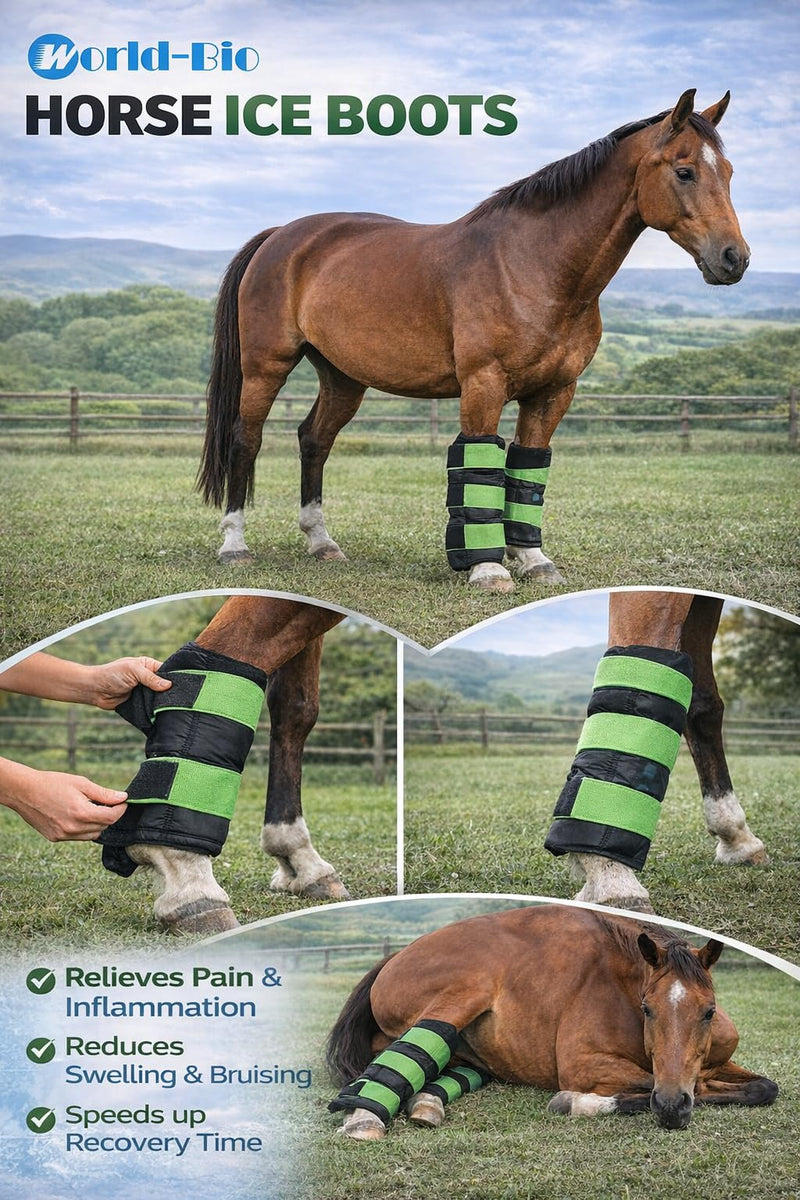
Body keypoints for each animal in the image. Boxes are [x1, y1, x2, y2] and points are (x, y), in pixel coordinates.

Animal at [198, 89, 748, 594]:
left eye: (728, 172)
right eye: (684, 172)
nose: (734, 258)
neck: (533, 264)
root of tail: (280, 236)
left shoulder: (553, 393)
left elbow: (526, 469)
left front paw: (533, 560)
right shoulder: (484, 384)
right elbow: (481, 465)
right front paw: (488, 569)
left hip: (343, 377)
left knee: (315, 439)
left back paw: (321, 542)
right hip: (267, 366)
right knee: (246, 439)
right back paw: (234, 545)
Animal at [327, 904, 778, 1139]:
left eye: (709, 1011)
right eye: (647, 1008)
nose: (670, 1107)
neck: (624, 984)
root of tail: (396, 955)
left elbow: (763, 1088)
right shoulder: (584, 1066)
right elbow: (672, 1084)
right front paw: (579, 1102)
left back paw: (427, 1101)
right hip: (464, 989)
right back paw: (365, 1115)